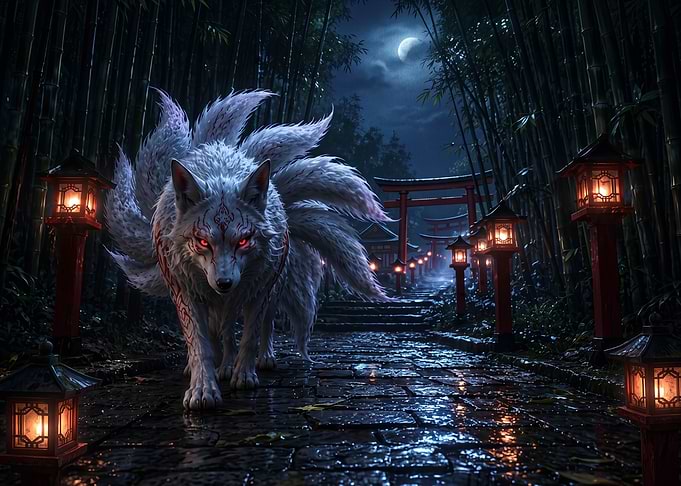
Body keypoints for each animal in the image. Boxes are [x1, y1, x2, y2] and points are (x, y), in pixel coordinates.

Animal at [105, 90, 390, 410]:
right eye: (202, 241)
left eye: (243, 240)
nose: (224, 283)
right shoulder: (185, 289)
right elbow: (200, 342)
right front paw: (203, 389)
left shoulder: (257, 288)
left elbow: (250, 334)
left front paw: (244, 375)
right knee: (222, 331)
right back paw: (216, 366)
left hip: (270, 288)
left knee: (260, 326)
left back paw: (258, 360)